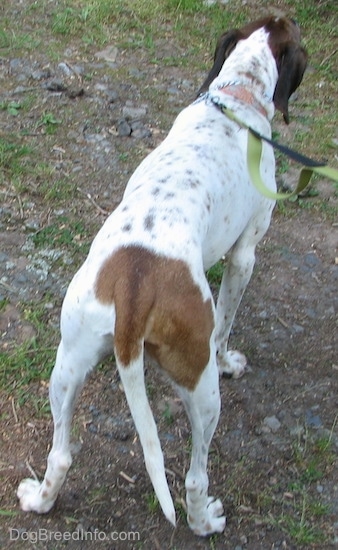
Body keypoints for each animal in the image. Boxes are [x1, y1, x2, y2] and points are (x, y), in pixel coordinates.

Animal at [19, 16, 308, 540]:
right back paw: (204, 521)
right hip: (201, 387)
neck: (236, 98)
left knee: (61, 454)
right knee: (194, 476)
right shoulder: (245, 254)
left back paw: (41, 500)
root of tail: (135, 283)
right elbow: (228, 321)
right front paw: (231, 358)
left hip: (67, 365)